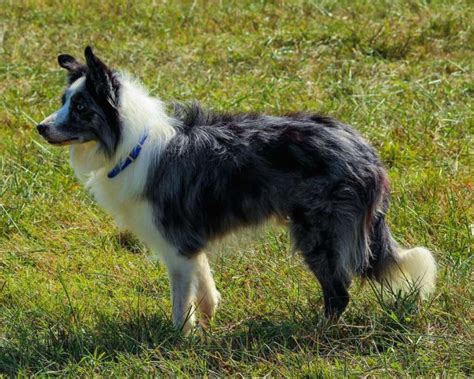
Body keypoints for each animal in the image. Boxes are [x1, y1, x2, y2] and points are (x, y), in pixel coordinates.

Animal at [37, 46, 436, 332]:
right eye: (63, 101)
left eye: (81, 106)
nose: (40, 127)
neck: (130, 142)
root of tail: (365, 151)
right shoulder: (189, 244)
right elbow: (204, 282)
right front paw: (207, 321)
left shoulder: (174, 242)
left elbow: (180, 302)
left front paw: (180, 338)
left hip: (317, 235)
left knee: (339, 293)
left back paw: (316, 330)